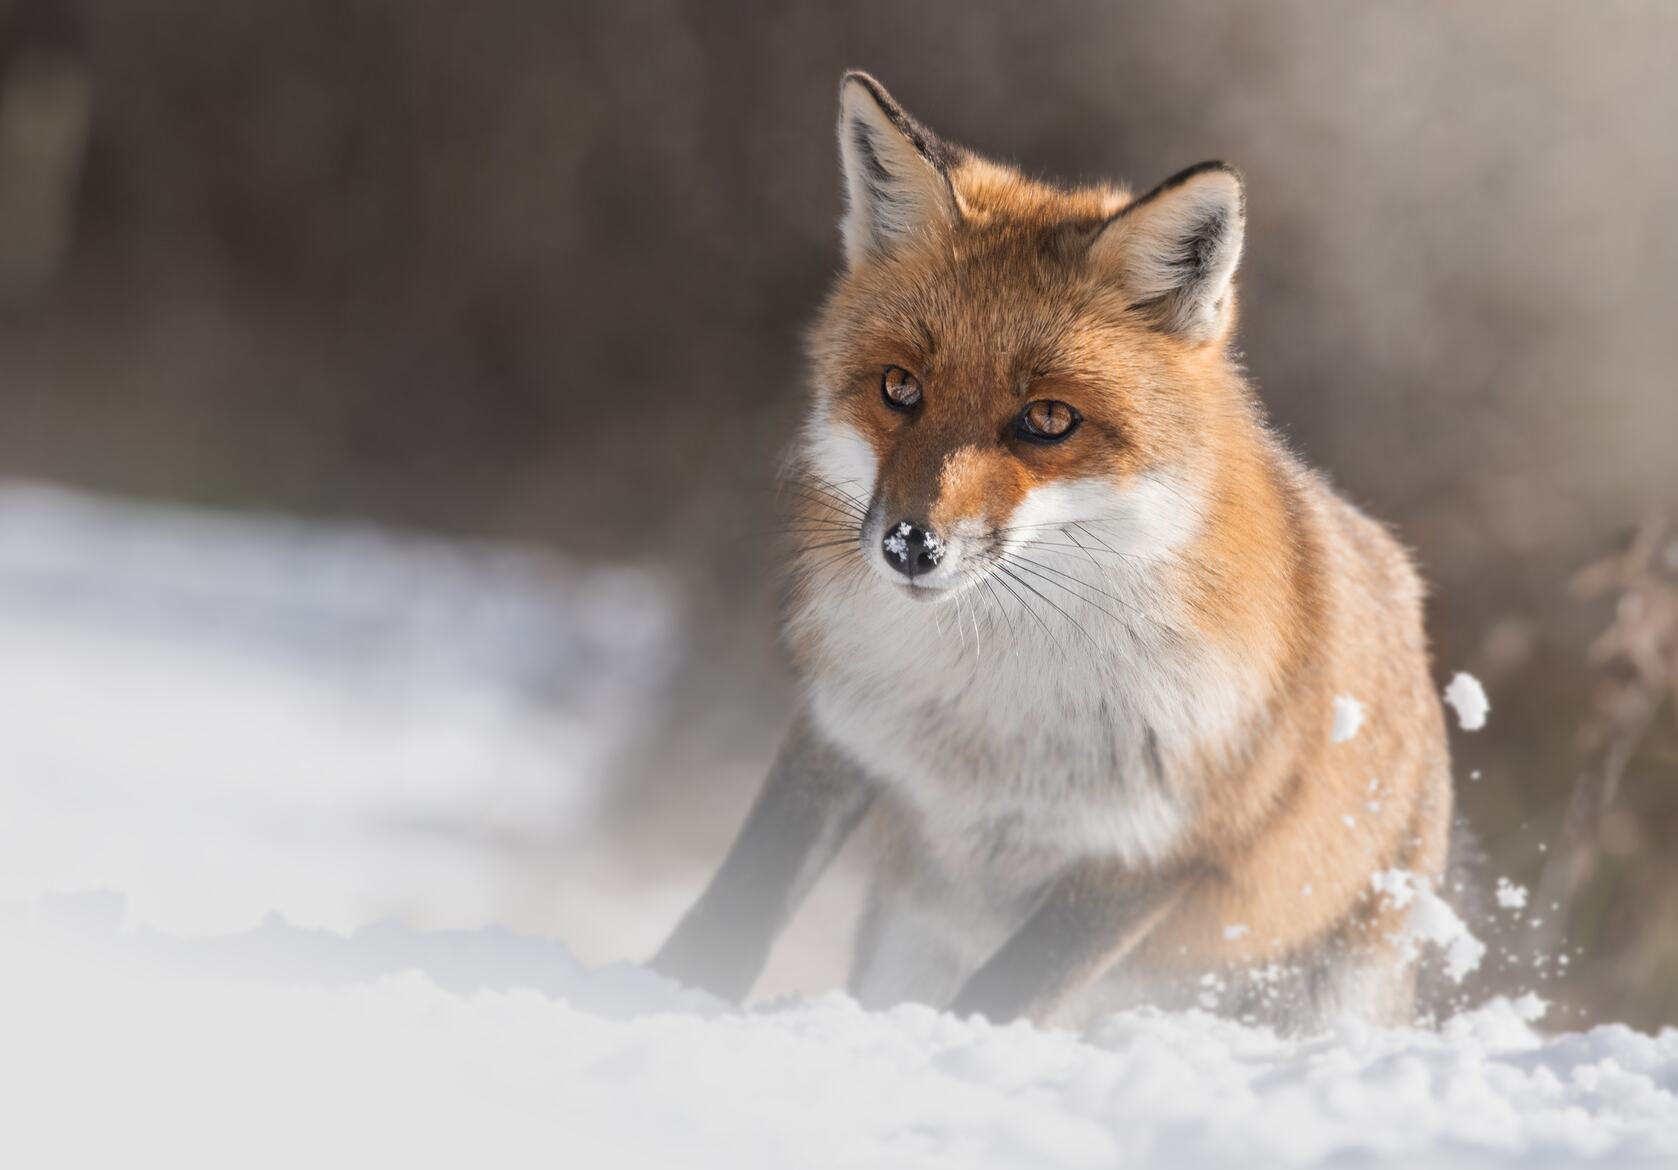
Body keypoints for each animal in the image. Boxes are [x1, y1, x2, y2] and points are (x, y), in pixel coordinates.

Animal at [647, 68, 1463, 1027]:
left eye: (1046, 418)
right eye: (900, 387)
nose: (910, 545)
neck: (993, 710)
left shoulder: (1155, 856)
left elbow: (1002, 997)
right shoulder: (841, 730)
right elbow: (741, 903)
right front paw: (670, 992)